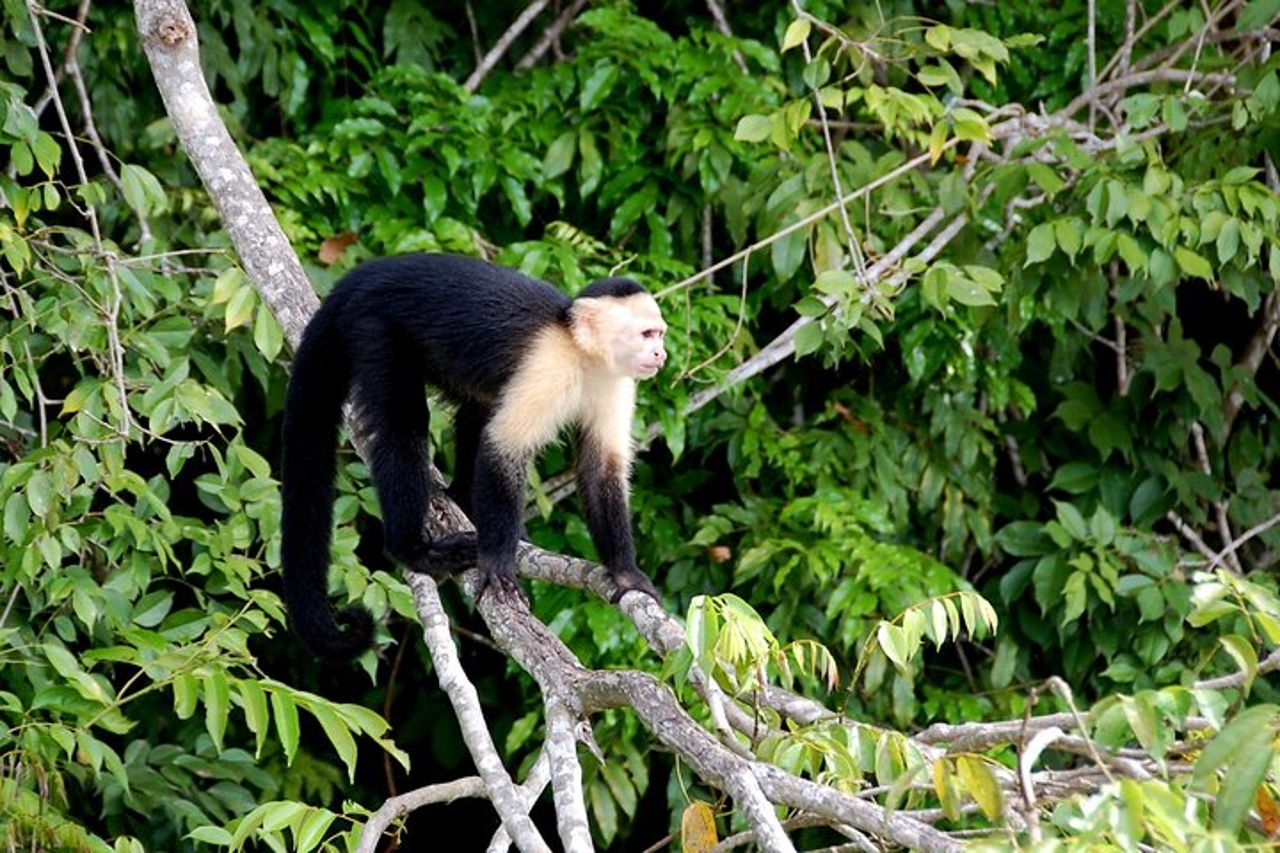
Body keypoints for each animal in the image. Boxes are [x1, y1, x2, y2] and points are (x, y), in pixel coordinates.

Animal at [280, 253, 668, 660]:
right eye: (647, 334)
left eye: (659, 334)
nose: (661, 353)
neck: (582, 351)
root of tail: (361, 277)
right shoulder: (549, 366)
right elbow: (504, 447)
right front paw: (497, 564)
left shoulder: (614, 381)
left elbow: (600, 470)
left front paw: (625, 572)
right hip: (373, 329)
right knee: (405, 427)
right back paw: (414, 551)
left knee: (479, 405)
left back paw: (463, 499)